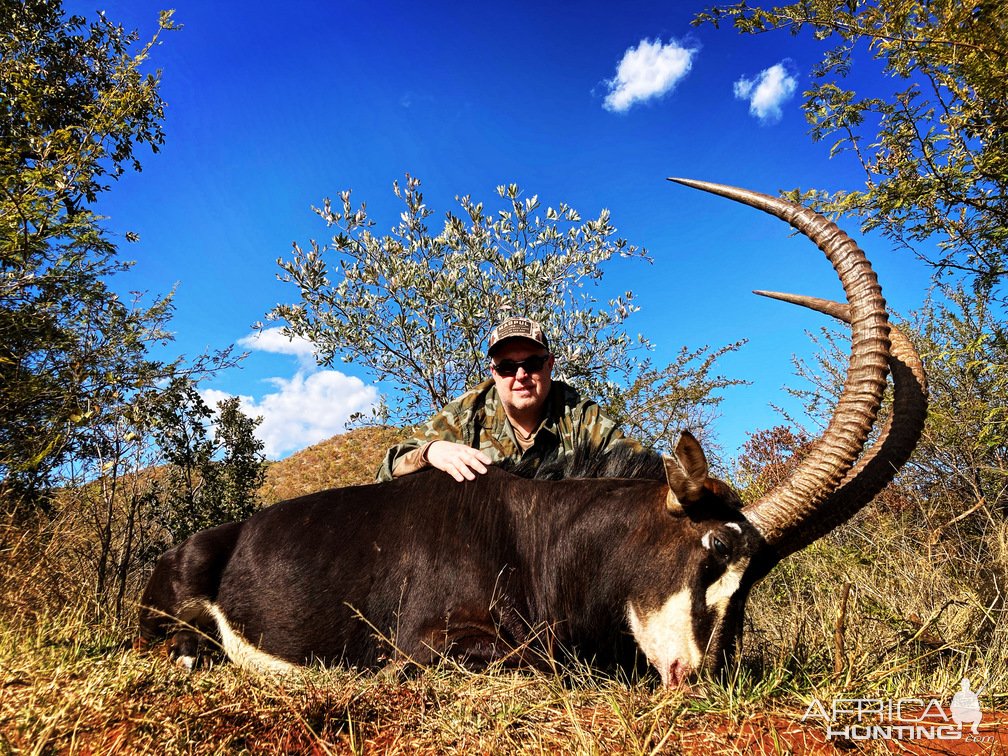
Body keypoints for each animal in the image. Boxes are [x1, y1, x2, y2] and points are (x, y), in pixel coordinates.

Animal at [138, 182, 923, 685]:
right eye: (713, 550)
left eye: (753, 578)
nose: (703, 677)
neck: (540, 534)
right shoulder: (427, 646)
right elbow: (545, 662)